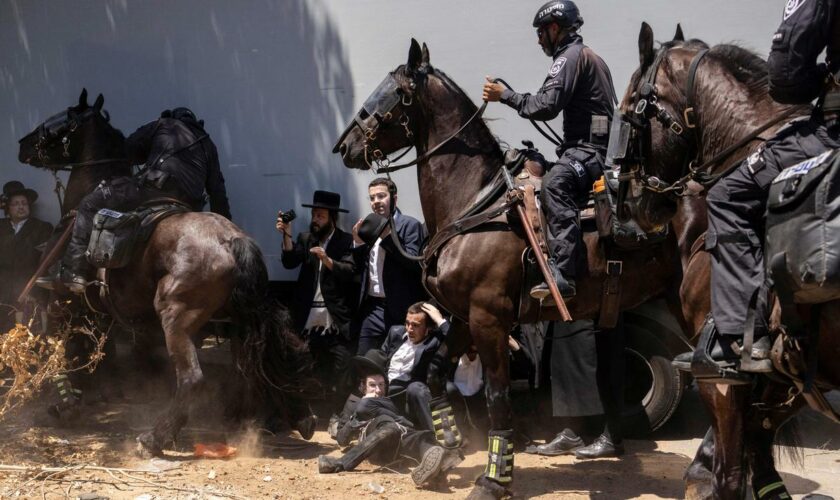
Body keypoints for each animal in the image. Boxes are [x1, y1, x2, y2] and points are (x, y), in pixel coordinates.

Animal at [17, 90, 318, 458]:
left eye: (62, 121)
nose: (22, 145)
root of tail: (230, 240)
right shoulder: (97, 314)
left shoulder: (62, 304)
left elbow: (63, 351)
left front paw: (66, 403)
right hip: (242, 321)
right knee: (273, 356)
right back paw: (295, 416)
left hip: (176, 318)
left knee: (192, 379)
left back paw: (155, 437)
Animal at [334, 40, 684, 500]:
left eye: (390, 94)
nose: (344, 147)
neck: (476, 203)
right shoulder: (463, 318)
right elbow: (434, 376)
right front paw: (446, 450)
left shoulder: (489, 320)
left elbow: (497, 399)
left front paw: (493, 478)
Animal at [612, 23, 836, 500]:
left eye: (630, 108)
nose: (633, 205)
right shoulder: (776, 386)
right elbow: (761, 471)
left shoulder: (723, 379)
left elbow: (731, 475)